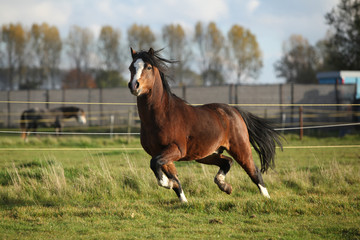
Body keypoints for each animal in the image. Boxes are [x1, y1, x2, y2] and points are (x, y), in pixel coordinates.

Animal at [129, 47, 284, 203]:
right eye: (131, 67)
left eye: (148, 67)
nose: (134, 85)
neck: (162, 115)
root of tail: (234, 110)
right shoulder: (160, 153)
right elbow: (171, 175)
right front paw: (182, 199)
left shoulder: (177, 149)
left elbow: (155, 165)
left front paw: (169, 184)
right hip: (207, 154)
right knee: (227, 162)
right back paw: (224, 186)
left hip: (240, 148)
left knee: (254, 171)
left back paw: (266, 198)